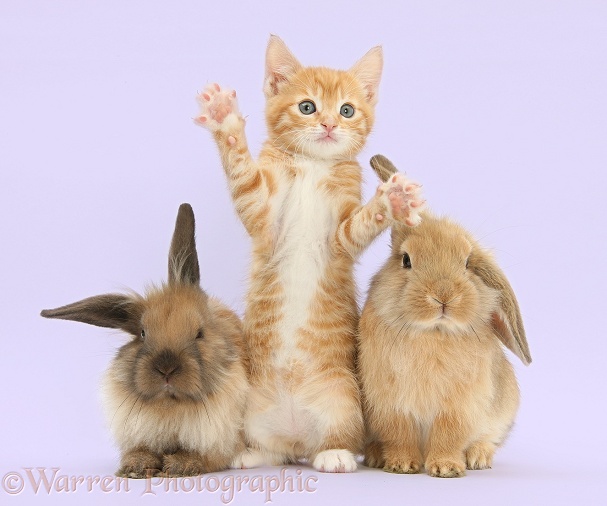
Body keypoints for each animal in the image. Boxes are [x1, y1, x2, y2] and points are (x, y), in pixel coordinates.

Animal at [41, 203, 248, 478]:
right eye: (142, 333)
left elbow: (203, 456)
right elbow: (139, 450)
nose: (166, 369)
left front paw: (179, 466)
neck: (169, 405)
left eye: (200, 333)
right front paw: (136, 467)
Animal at [360, 156, 532, 476]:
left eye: (466, 262)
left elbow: (448, 435)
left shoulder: (458, 407)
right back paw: (377, 456)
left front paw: (446, 468)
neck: (433, 331)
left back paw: (478, 458)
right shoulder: (390, 404)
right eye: (406, 260)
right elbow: (400, 434)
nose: (444, 296)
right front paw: (402, 465)